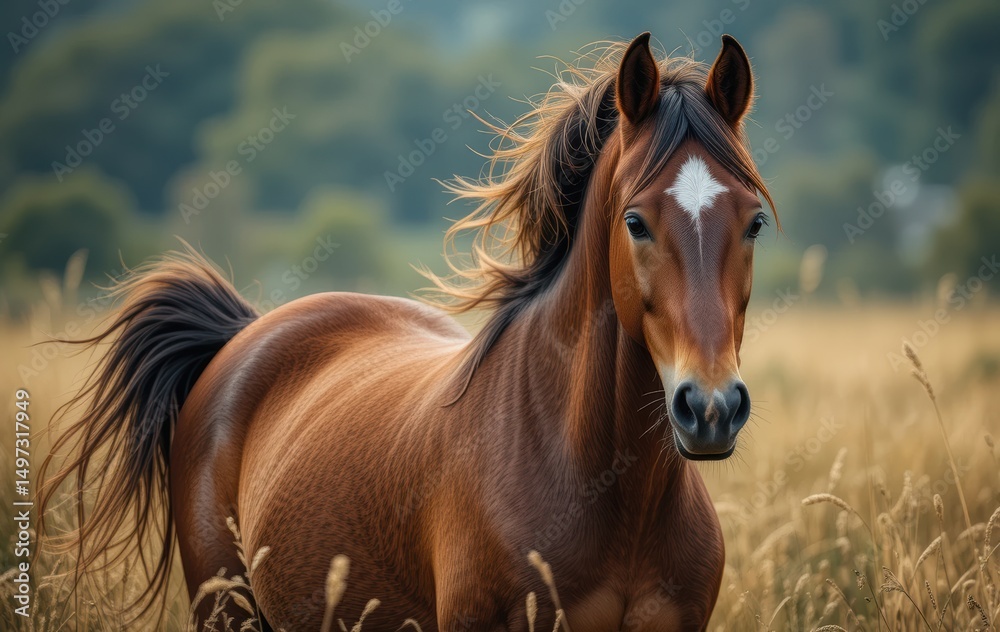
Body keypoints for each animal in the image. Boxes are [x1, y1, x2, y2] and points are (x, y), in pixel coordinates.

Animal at [40, 32, 776, 631]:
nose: (711, 408)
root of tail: (245, 333)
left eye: (755, 222)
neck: (605, 489)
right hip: (227, 610)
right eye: (635, 222)